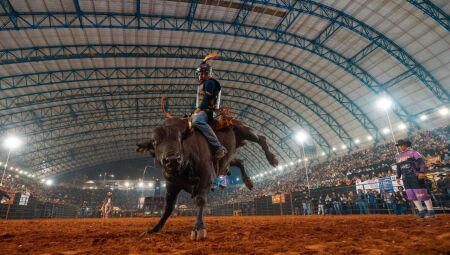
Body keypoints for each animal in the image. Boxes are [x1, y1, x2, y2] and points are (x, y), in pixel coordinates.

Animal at [136, 116, 278, 240]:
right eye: (155, 141)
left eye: (180, 138)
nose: (172, 159)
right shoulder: (171, 185)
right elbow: (168, 207)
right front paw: (154, 229)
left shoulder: (206, 177)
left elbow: (200, 200)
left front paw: (198, 229)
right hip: (227, 159)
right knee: (239, 162)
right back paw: (248, 182)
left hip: (244, 130)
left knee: (261, 138)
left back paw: (272, 159)